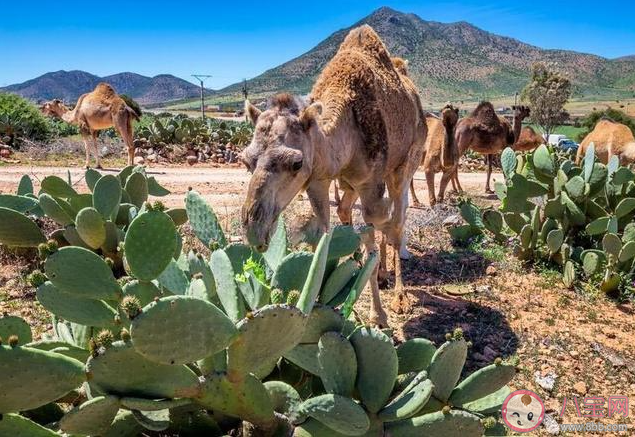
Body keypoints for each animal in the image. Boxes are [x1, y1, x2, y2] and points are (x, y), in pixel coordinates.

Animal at [241, 23, 430, 324]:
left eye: (296, 163)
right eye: (246, 161)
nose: (254, 230)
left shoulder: (370, 183)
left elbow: (373, 230)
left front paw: (379, 314)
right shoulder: (320, 180)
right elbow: (330, 231)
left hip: (406, 163)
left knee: (397, 217)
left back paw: (400, 294)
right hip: (352, 184)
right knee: (357, 212)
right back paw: (383, 274)